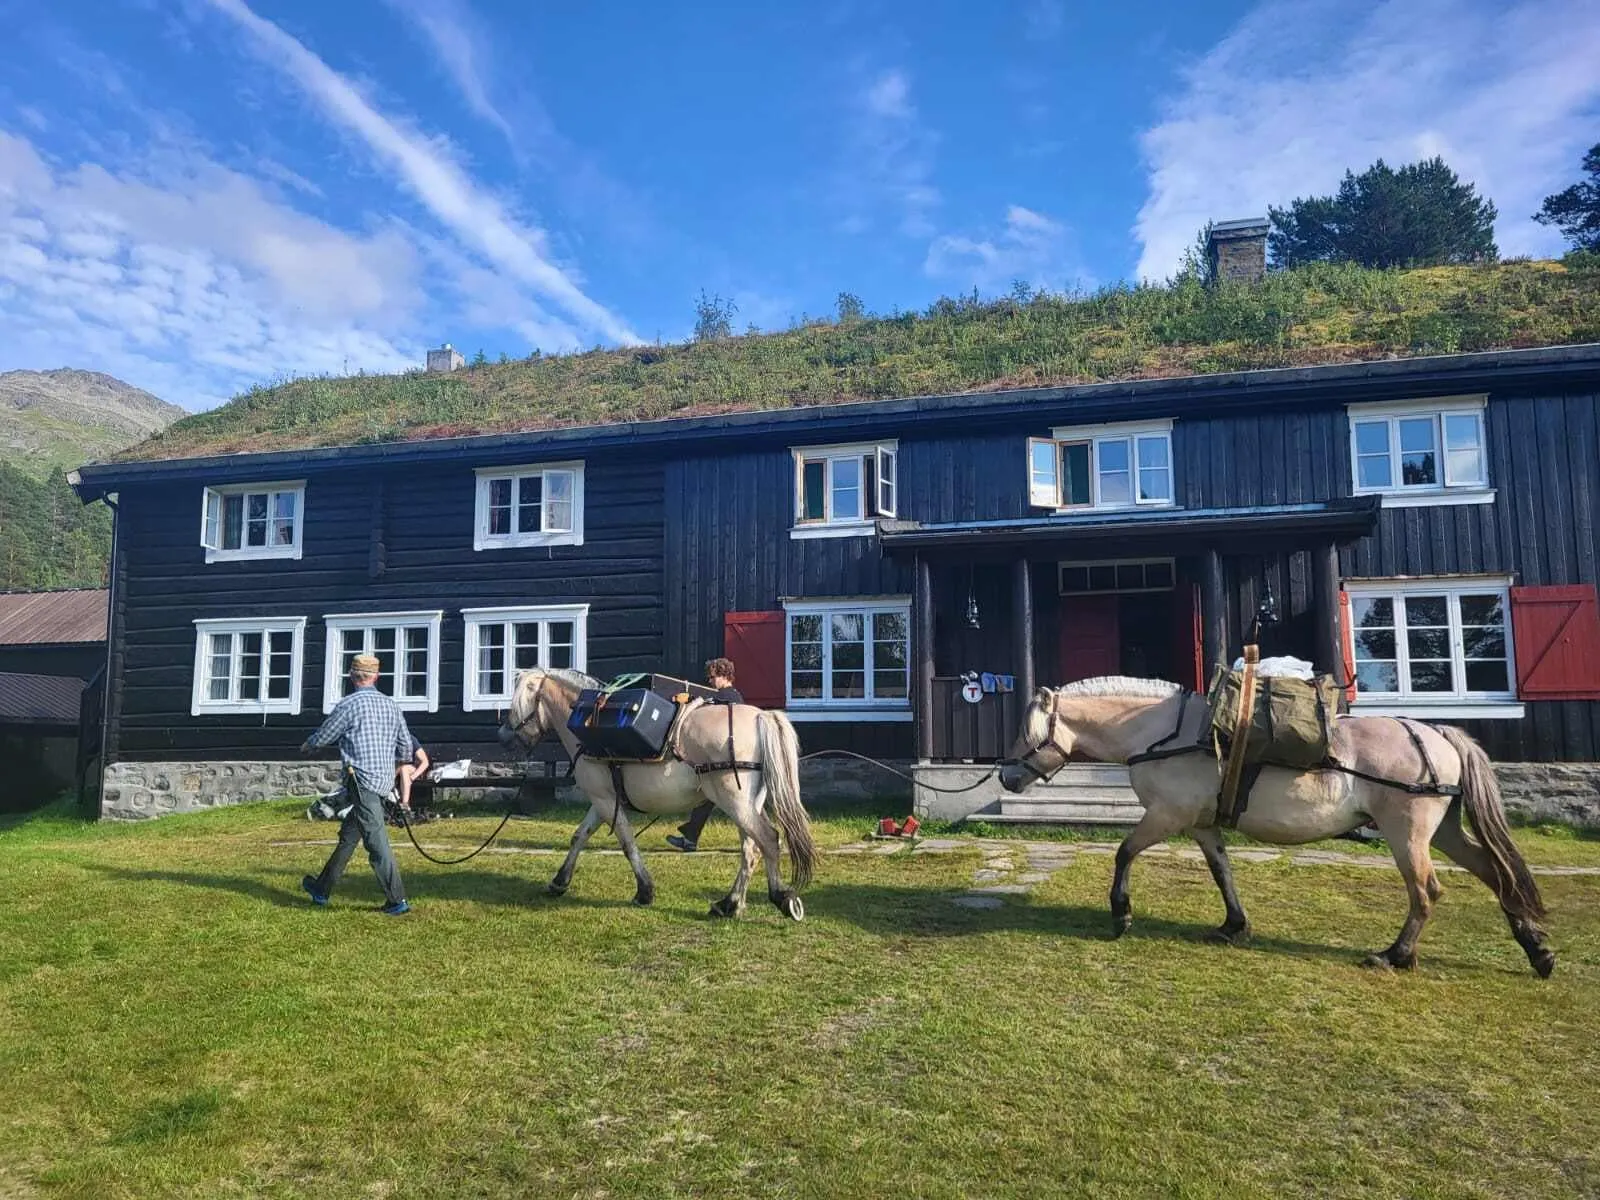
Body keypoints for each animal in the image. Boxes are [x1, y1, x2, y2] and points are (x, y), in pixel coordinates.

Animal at [499, 668, 819, 921]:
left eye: (517, 703)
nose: (504, 736)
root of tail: (760, 716)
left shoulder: (605, 800)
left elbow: (627, 844)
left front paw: (644, 891)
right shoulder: (601, 801)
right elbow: (579, 836)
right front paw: (559, 881)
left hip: (734, 801)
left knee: (767, 840)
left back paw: (780, 897)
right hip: (747, 803)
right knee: (751, 849)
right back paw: (730, 904)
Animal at [998, 678, 1548, 979]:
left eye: (1026, 731)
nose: (1004, 775)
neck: (1159, 734)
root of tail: (1432, 731)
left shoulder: (1167, 816)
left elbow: (1124, 853)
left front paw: (1121, 914)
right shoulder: (1202, 825)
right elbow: (1223, 872)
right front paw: (1233, 925)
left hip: (1406, 833)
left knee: (1426, 891)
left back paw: (1396, 955)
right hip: (1444, 831)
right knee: (1494, 872)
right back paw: (1536, 949)